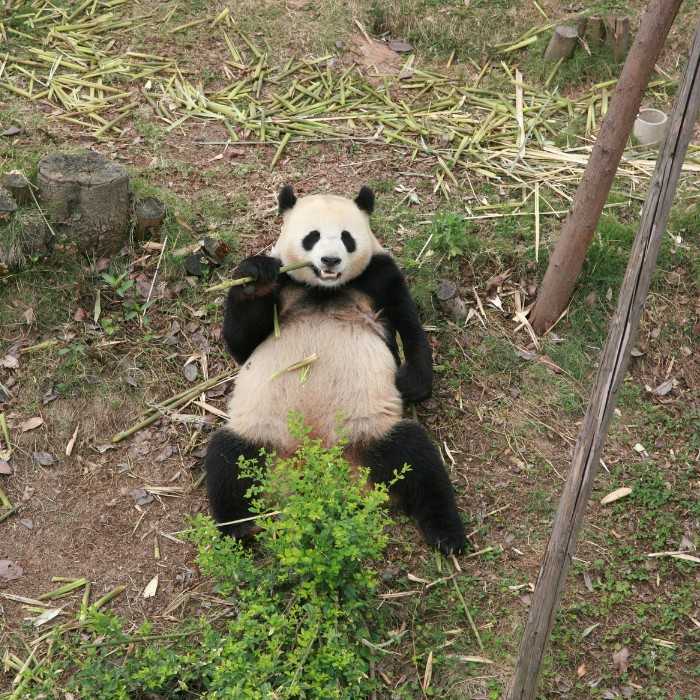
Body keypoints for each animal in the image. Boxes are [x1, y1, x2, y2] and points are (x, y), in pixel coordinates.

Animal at [205, 185, 466, 554]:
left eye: (346, 238)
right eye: (312, 237)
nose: (330, 261)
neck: (324, 290)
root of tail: (317, 468)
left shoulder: (380, 275)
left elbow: (409, 325)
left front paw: (412, 383)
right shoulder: (285, 283)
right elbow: (241, 343)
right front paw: (255, 275)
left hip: (369, 431)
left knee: (418, 460)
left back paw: (448, 535)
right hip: (262, 436)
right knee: (228, 462)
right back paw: (240, 535)